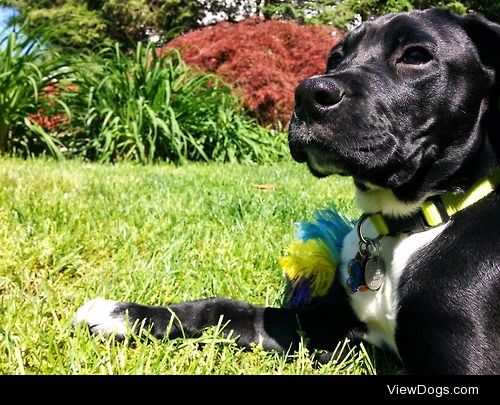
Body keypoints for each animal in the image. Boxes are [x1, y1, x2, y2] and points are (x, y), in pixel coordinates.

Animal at [73, 9, 500, 374]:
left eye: (415, 56)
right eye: (335, 58)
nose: (307, 95)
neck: (408, 224)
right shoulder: (326, 325)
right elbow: (225, 309)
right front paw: (124, 314)